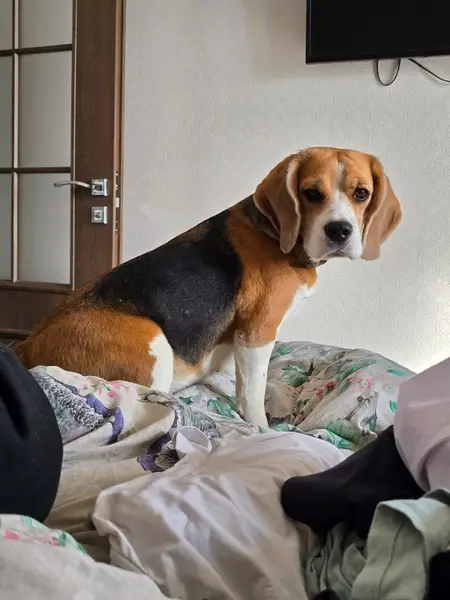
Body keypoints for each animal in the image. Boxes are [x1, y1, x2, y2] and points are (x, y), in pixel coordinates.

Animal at [16, 147, 401, 428]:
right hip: (153, 341)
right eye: (311, 193)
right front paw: (260, 427)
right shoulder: (257, 331)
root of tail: (28, 345)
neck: (276, 235)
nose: (339, 231)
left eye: (361, 194)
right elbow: (252, 391)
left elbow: (244, 379)